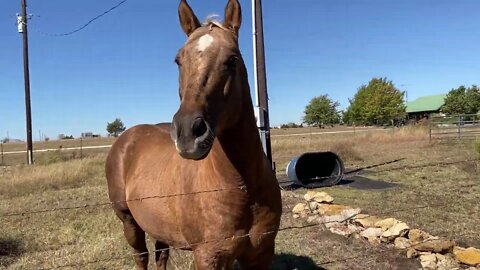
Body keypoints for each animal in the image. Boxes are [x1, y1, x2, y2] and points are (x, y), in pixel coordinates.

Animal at [105, 1, 282, 268]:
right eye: (178, 60)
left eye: (232, 59)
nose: (188, 133)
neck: (242, 188)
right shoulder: (208, 257)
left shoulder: (260, 255)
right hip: (129, 222)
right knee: (141, 257)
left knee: (161, 255)